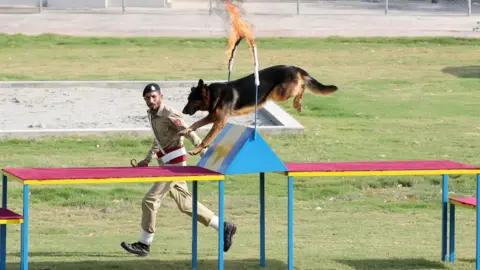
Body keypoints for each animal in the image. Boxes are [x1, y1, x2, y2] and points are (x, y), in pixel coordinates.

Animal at [179, 64, 338, 155]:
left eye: (192, 100)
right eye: (188, 99)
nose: (183, 112)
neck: (213, 94)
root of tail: (293, 67)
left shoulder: (219, 121)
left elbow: (207, 138)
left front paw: (196, 150)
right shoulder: (212, 117)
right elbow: (196, 124)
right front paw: (185, 131)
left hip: (279, 93)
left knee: (302, 87)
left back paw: (297, 103)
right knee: (302, 86)